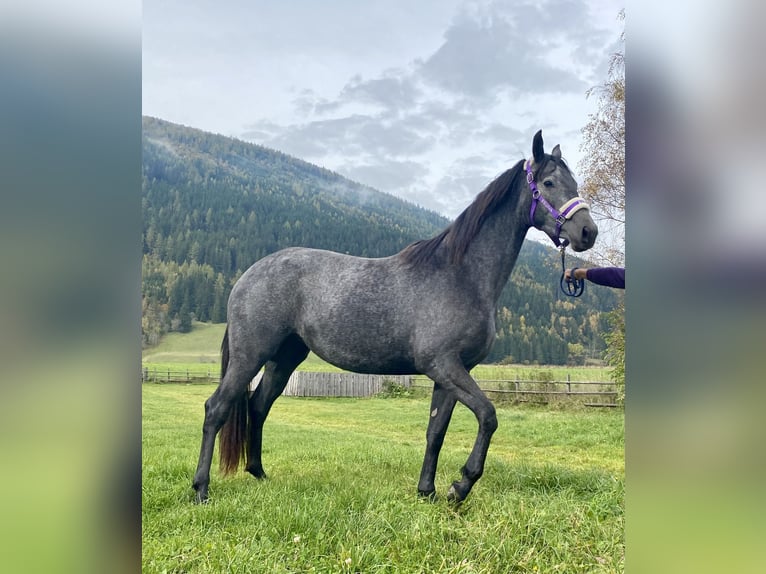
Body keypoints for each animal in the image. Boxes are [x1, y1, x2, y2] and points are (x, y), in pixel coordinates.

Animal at [192, 129, 600, 504]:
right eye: (548, 182)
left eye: (575, 183)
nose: (588, 232)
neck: (460, 275)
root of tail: (248, 276)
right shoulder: (444, 366)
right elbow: (488, 415)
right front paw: (461, 485)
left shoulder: (449, 374)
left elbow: (436, 432)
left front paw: (428, 491)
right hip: (250, 356)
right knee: (217, 408)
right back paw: (201, 489)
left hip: (284, 357)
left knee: (258, 407)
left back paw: (259, 474)